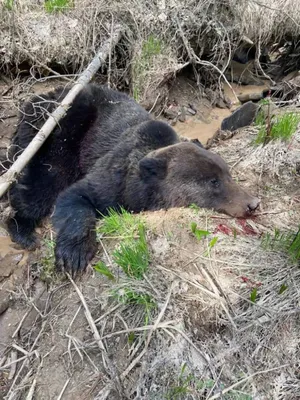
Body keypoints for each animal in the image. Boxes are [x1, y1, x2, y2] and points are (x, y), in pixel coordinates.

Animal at [6, 83, 260, 274]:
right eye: (212, 181)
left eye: (228, 175)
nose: (253, 204)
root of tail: (36, 99)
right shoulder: (113, 180)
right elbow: (76, 195)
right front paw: (73, 254)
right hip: (60, 132)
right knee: (45, 182)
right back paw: (24, 230)